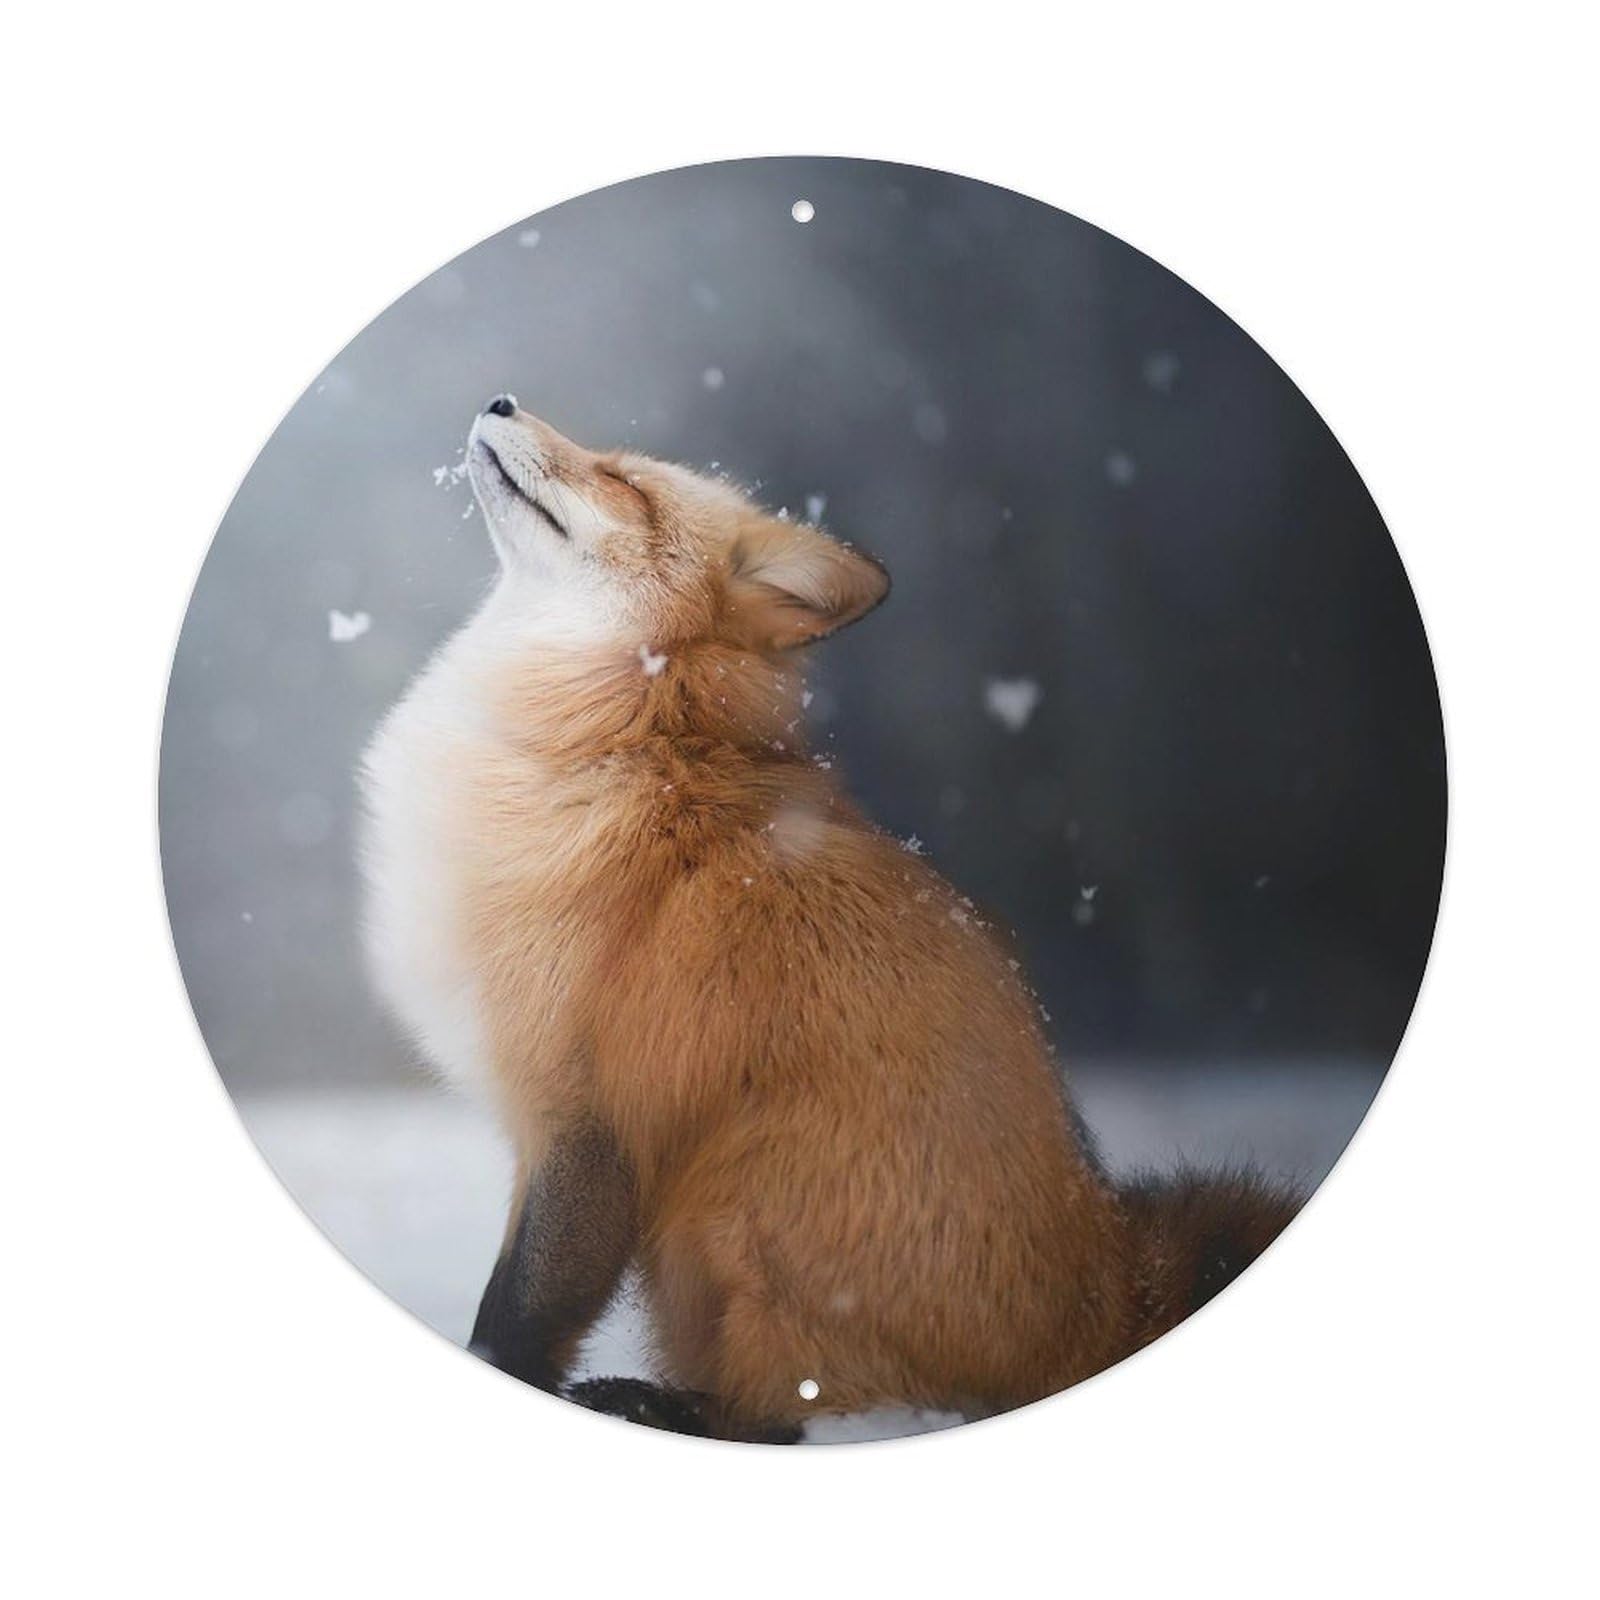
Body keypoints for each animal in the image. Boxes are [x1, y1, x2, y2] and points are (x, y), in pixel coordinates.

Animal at [359, 395, 1301, 1441]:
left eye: (623, 481)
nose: (502, 402)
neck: (628, 735)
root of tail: (1106, 1288)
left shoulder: (588, 1117)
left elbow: (514, 1320)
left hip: (729, 1199)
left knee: (788, 1418)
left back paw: (656, 1403)